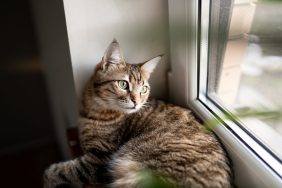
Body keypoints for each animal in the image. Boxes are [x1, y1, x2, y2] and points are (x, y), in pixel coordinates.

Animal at [44, 39, 232, 187]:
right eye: (123, 84)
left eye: (143, 89)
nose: (136, 101)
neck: (95, 111)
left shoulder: (98, 159)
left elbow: (64, 170)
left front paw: (48, 177)